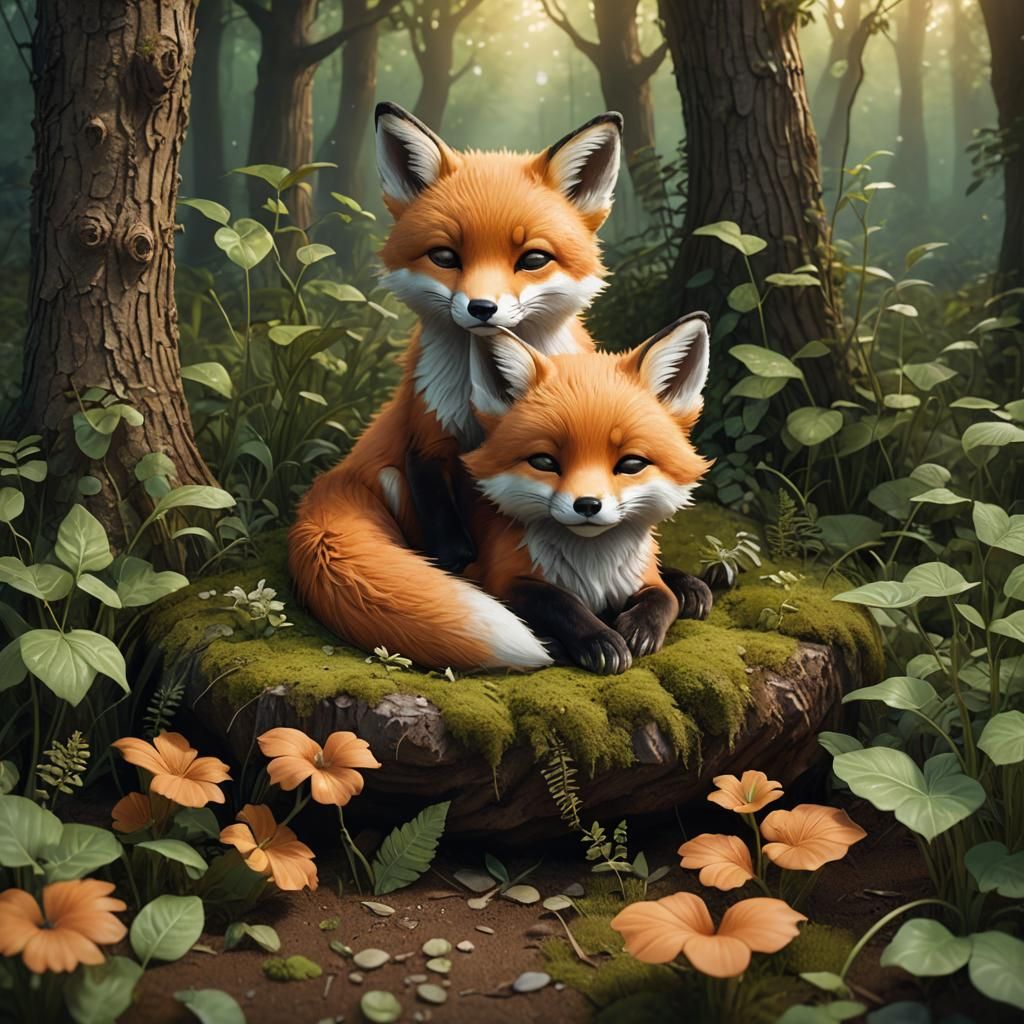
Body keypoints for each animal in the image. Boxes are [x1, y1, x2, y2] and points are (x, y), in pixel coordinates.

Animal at [289, 103, 625, 669]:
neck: (481, 394)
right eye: (446, 257)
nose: (482, 308)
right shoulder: (428, 443)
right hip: (388, 479)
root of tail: (332, 479)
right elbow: (455, 544)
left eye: (533, 259)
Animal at [460, 314, 714, 675]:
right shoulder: (500, 578)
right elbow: (560, 601)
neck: (594, 568)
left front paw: (641, 629)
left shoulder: (642, 578)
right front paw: (600, 639)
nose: (588, 505)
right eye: (544, 462)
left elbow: (664, 599)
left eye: (631, 464)